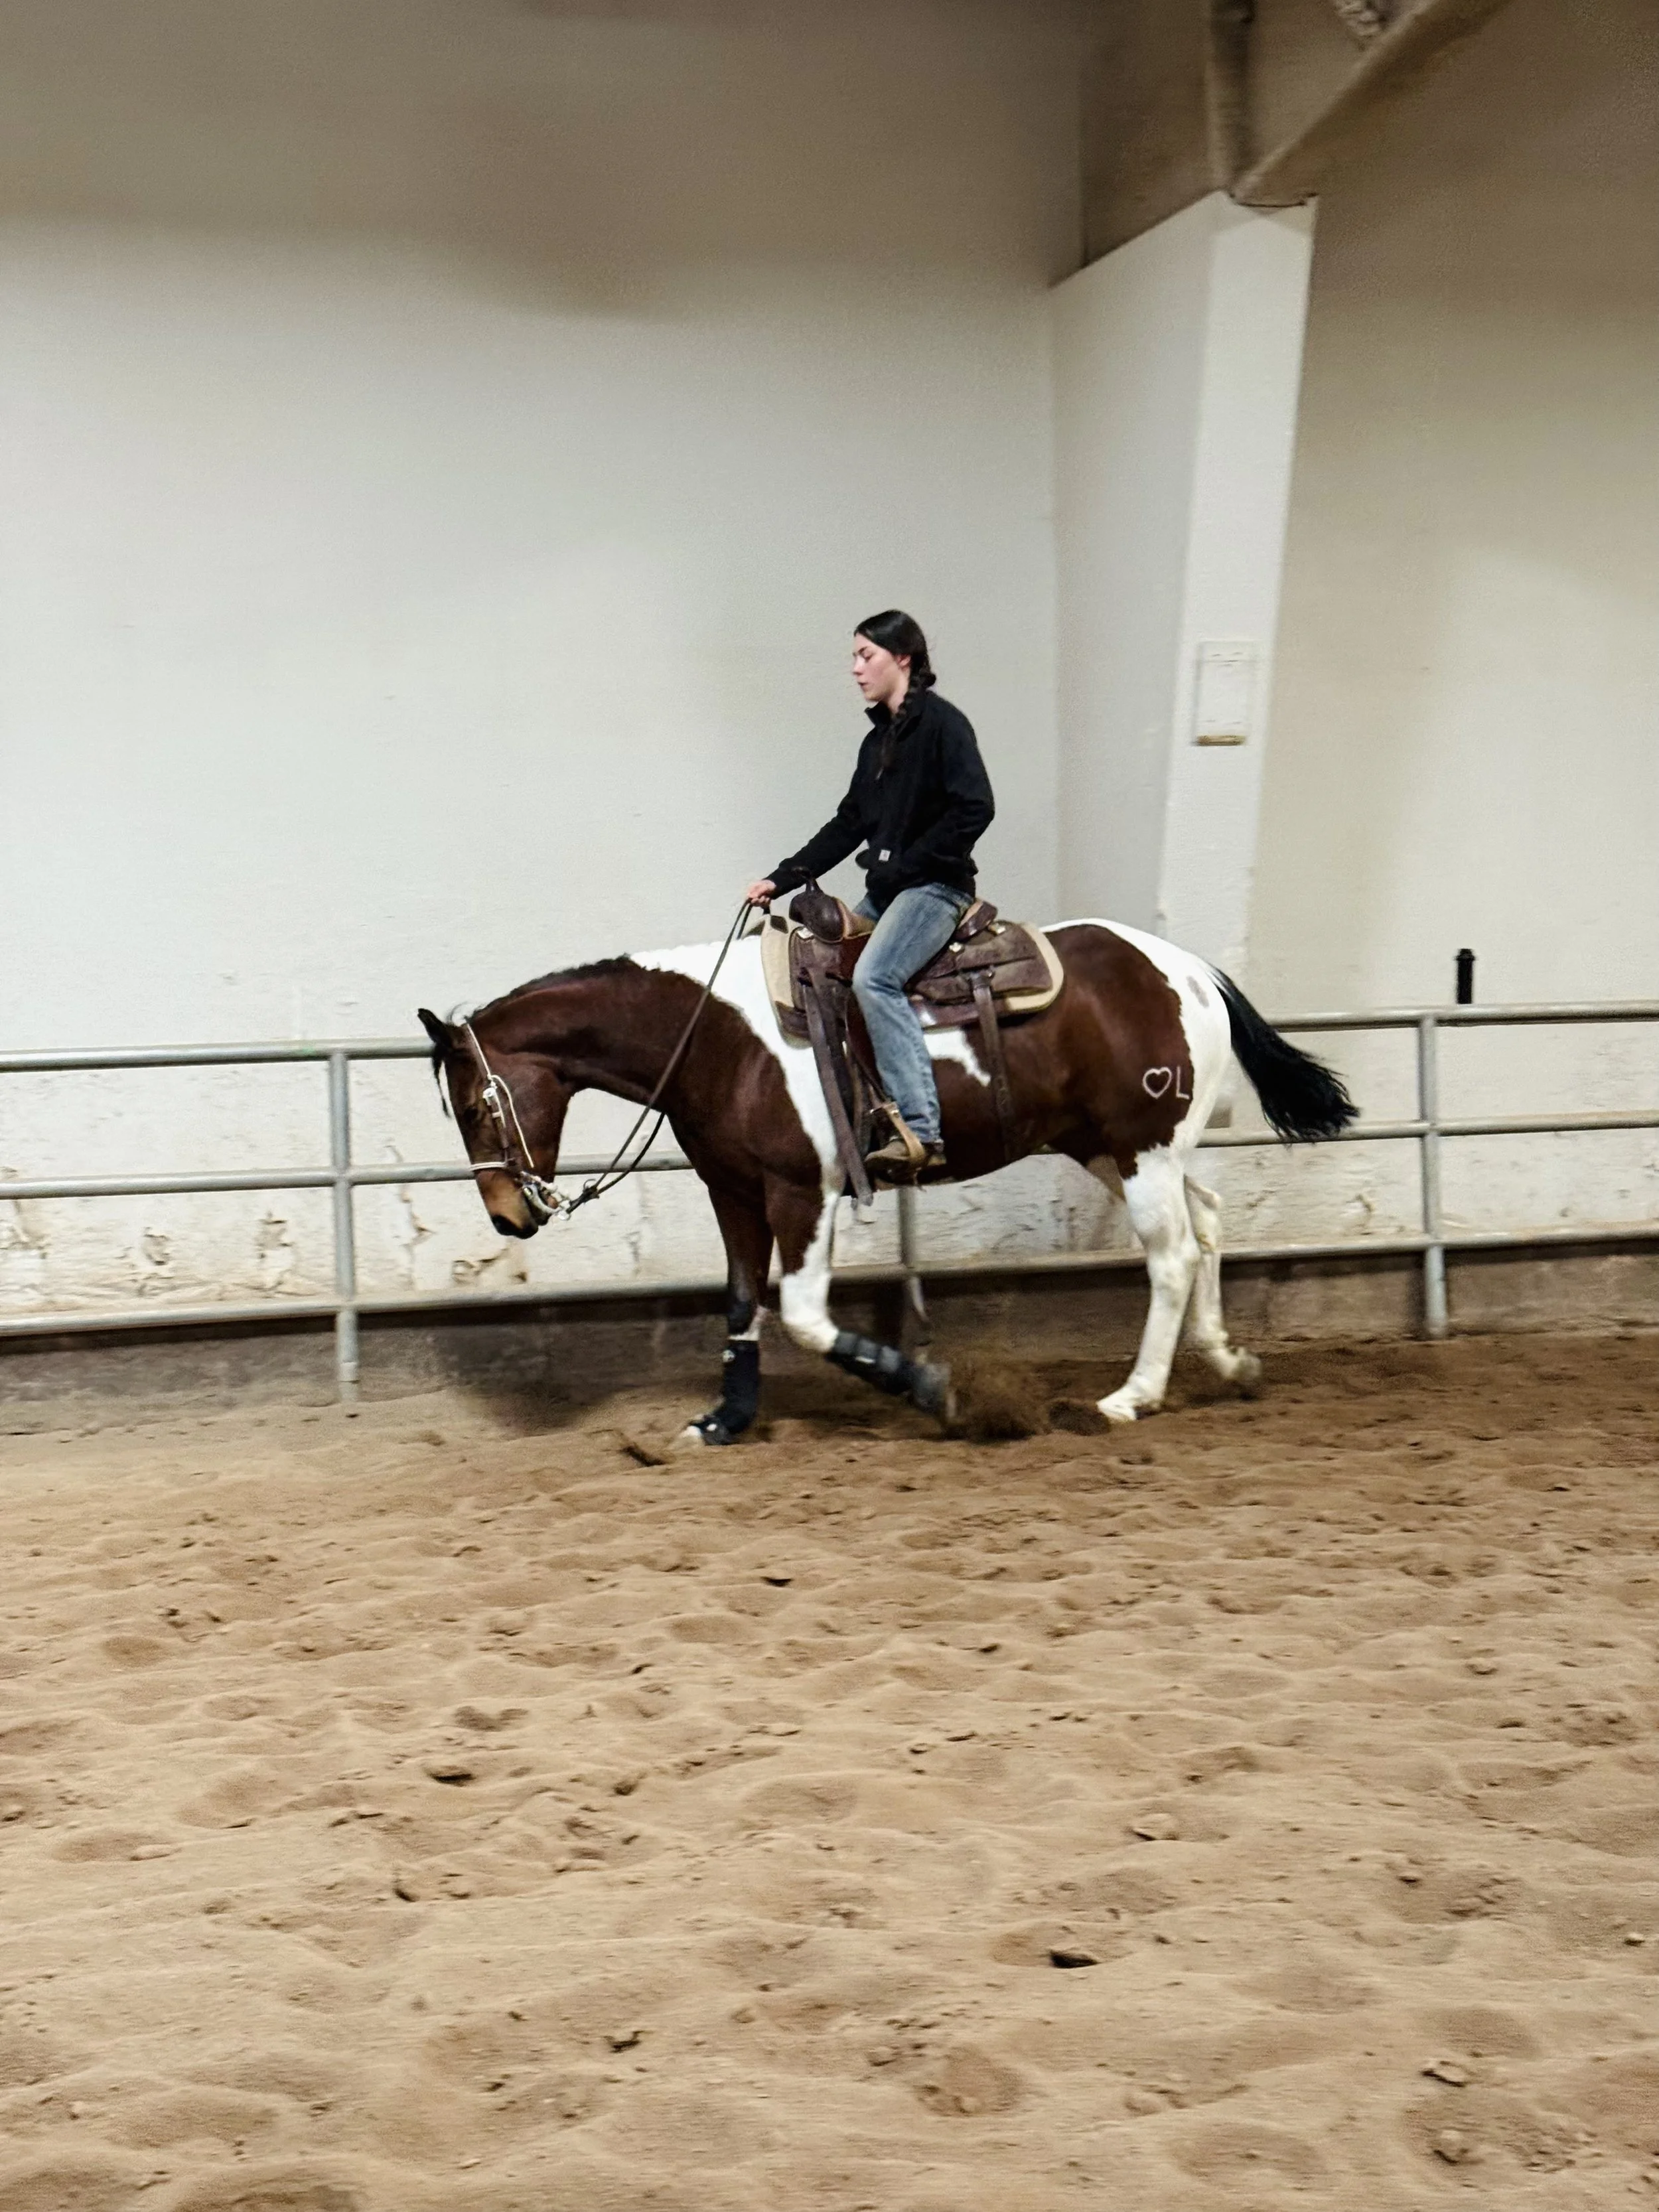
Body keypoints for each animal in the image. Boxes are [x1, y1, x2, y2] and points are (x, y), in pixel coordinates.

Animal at [418, 915, 1355, 1442]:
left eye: (472, 1103)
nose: (506, 1217)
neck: (717, 1036)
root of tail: (1189, 970)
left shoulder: (801, 1192)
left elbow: (802, 1316)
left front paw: (940, 1390)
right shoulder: (733, 1189)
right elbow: (739, 1302)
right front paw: (724, 1419)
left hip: (1141, 1149)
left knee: (1171, 1257)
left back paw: (1133, 1395)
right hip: (1117, 1149)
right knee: (1209, 1221)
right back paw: (1227, 1361)